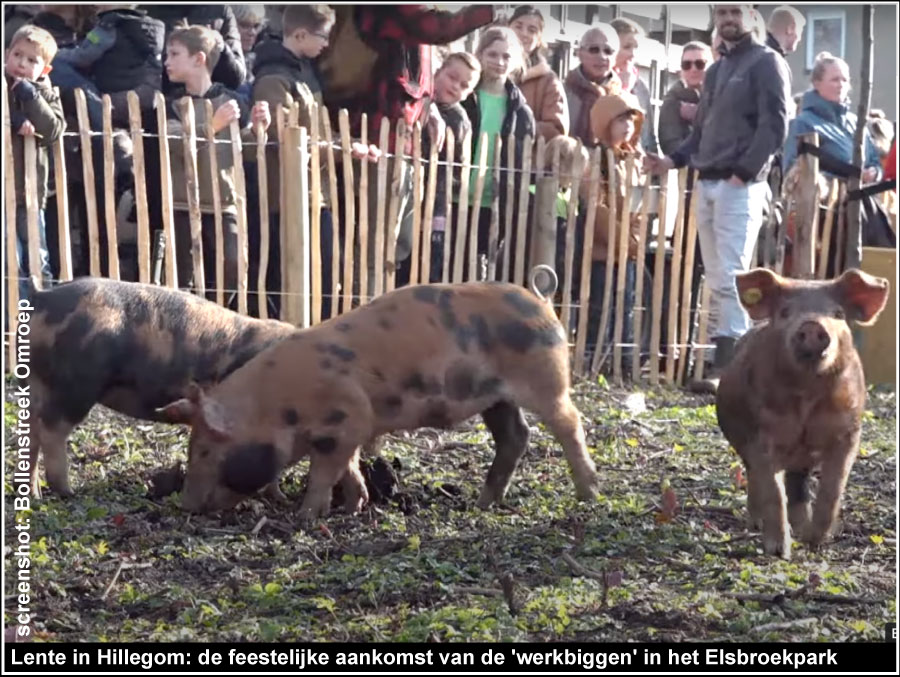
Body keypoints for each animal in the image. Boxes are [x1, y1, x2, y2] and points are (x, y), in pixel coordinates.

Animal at [24, 274, 296, 496]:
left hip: (36, 383)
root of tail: (42, 296)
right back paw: (67, 492)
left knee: (31, 432)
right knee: (50, 430)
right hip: (74, 385)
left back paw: (35, 495)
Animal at [162, 282, 596, 520]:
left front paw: (305, 516)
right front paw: (352, 507)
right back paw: (482, 503)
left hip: (547, 381)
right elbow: (350, 467)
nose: (185, 505)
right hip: (496, 399)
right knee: (515, 437)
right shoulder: (352, 427)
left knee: (570, 422)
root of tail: (544, 305)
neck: (277, 408)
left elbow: (325, 472)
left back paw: (588, 494)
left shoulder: (347, 417)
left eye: (205, 450)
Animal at [712, 266, 888, 556]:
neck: (807, 396)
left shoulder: (849, 432)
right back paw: (756, 524)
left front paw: (814, 541)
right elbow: (773, 492)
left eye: (838, 314)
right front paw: (779, 552)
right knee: (757, 480)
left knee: (798, 487)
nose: (812, 325)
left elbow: (832, 488)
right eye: (785, 312)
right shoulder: (759, 435)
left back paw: (801, 528)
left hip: (802, 459)